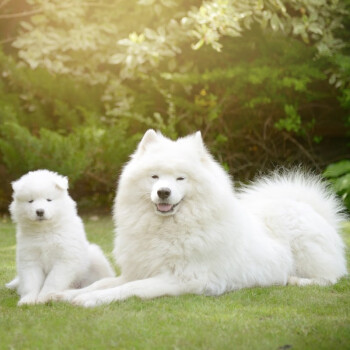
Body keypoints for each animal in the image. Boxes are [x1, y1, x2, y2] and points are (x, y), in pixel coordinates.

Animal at [6, 170, 115, 306]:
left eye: (49, 200)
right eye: (30, 201)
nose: (40, 211)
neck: (45, 231)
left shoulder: (65, 259)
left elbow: (52, 281)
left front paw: (44, 297)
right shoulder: (30, 259)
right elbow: (31, 282)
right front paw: (28, 300)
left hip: (96, 259)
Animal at [55, 131, 348, 306]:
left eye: (180, 179)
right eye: (154, 176)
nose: (163, 192)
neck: (167, 230)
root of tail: (312, 209)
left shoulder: (184, 279)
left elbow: (131, 289)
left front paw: (91, 299)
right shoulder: (137, 269)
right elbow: (104, 282)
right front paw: (63, 294)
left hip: (307, 253)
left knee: (330, 277)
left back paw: (296, 280)